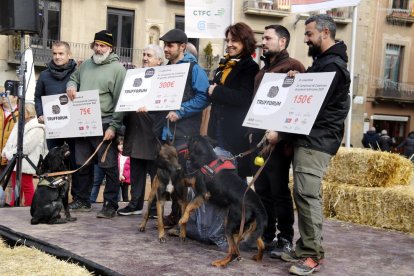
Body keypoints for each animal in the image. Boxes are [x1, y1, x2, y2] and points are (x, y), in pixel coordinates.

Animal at [181, 136, 268, 268]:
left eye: (189, 140)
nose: (184, 138)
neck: (207, 159)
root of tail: (257, 205)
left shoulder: (202, 193)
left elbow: (189, 206)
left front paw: (183, 219)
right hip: (250, 227)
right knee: (260, 244)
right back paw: (257, 257)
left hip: (231, 224)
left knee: (234, 251)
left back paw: (221, 262)